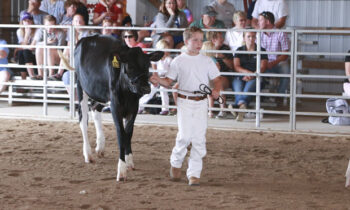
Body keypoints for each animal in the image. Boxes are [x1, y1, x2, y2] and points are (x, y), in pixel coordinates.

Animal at [73, 34, 163, 180]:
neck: (127, 92)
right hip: (81, 87)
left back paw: (100, 147)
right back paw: (88, 154)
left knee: (95, 108)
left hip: (101, 94)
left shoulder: (133, 107)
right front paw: (121, 169)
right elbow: (121, 134)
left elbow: (129, 133)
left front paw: (129, 161)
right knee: (83, 120)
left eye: (148, 65)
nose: (146, 88)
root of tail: (86, 38)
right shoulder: (115, 107)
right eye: (130, 66)